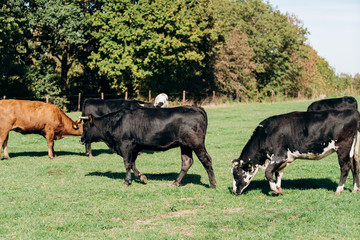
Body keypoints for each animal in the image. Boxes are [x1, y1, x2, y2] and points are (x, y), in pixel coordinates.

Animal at [80, 106, 217, 188]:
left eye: (85, 127)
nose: (80, 139)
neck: (116, 123)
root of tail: (195, 107)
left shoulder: (125, 145)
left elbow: (127, 164)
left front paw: (126, 181)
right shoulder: (135, 147)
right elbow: (132, 164)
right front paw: (142, 177)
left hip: (196, 143)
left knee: (206, 160)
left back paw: (213, 184)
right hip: (185, 145)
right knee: (187, 162)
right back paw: (176, 182)